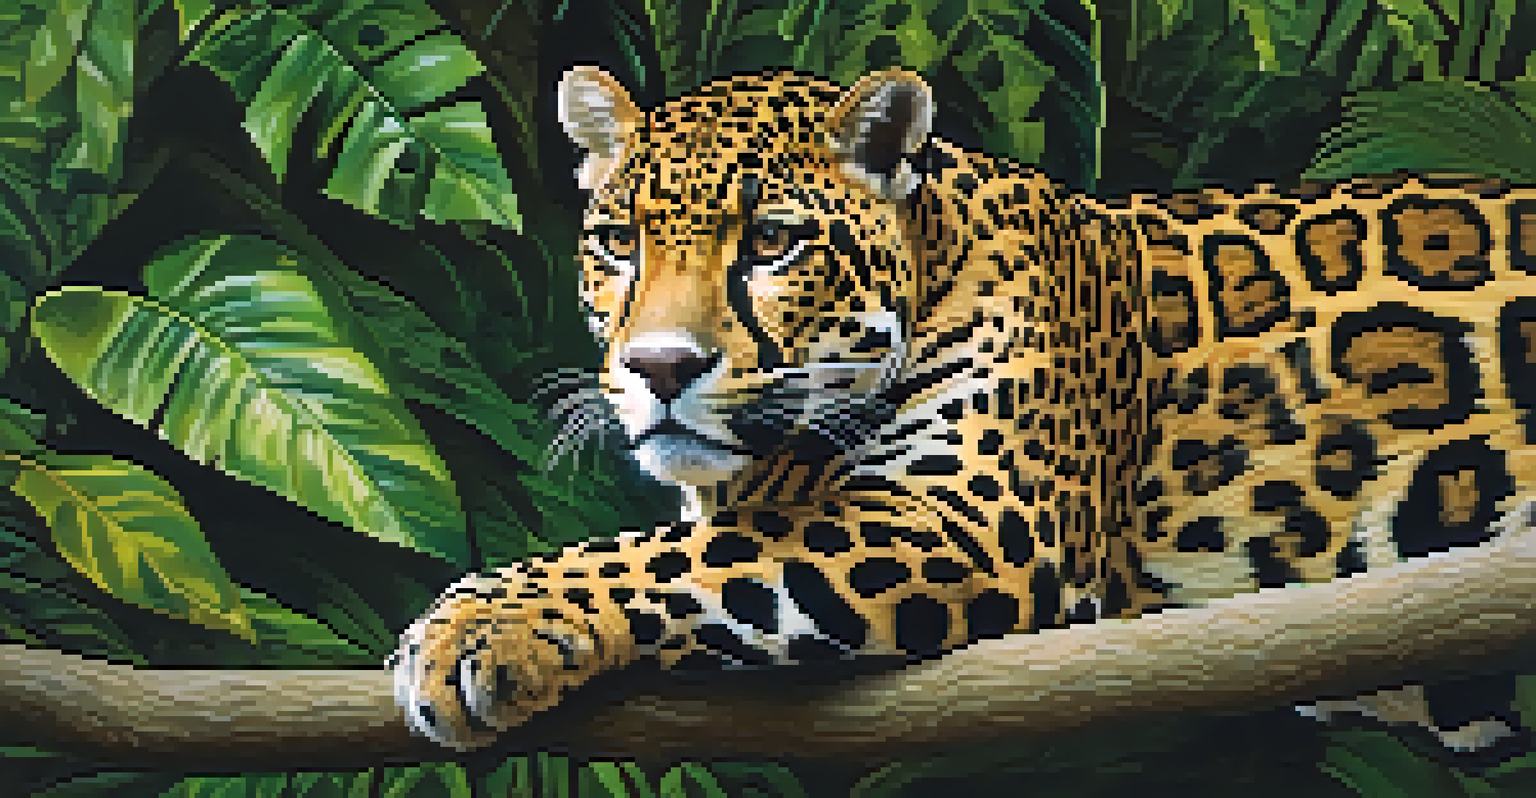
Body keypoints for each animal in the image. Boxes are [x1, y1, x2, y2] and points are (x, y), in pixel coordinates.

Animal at [389, 65, 1536, 765]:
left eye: (771, 242)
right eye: (617, 243)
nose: (660, 365)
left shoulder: (978, 518)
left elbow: (667, 555)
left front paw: (470, 632)